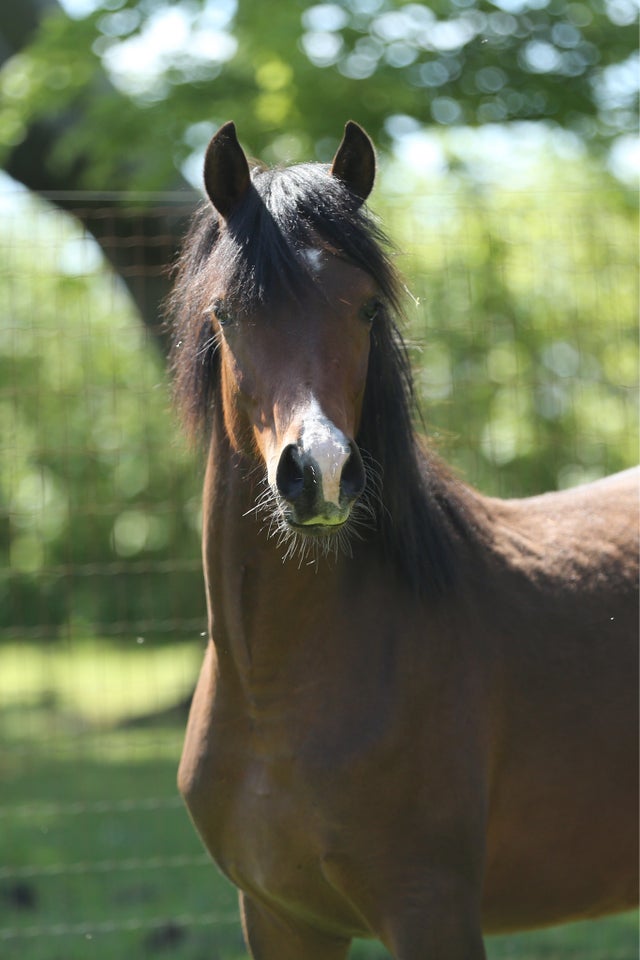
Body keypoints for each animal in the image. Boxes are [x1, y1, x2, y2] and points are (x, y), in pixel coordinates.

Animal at [168, 122, 636, 960]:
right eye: (228, 313)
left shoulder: (430, 910)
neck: (276, 694)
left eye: (364, 309)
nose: (320, 472)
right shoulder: (282, 919)